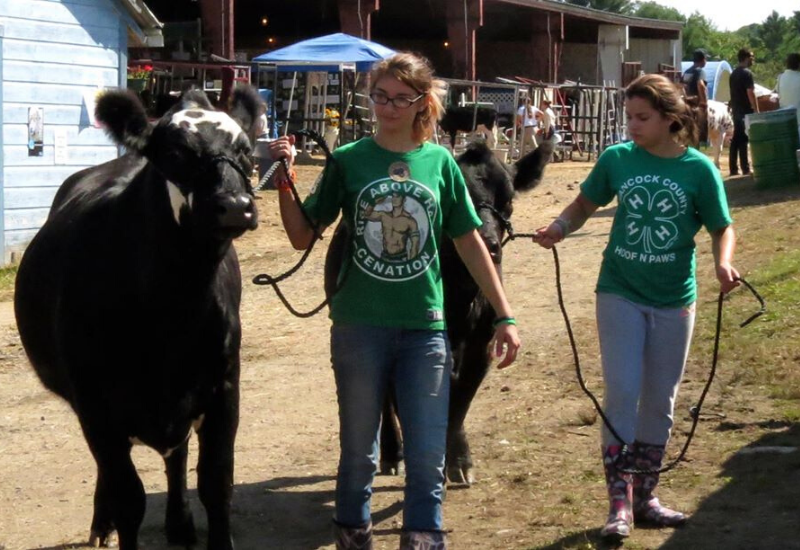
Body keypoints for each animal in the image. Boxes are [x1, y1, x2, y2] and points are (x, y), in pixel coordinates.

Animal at [14, 88, 260, 548]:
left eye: (246, 151)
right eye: (176, 152)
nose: (235, 206)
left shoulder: (223, 388)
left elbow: (216, 485)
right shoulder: (96, 405)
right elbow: (128, 498)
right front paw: (112, 519)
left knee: (176, 454)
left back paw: (180, 524)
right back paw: (101, 523)